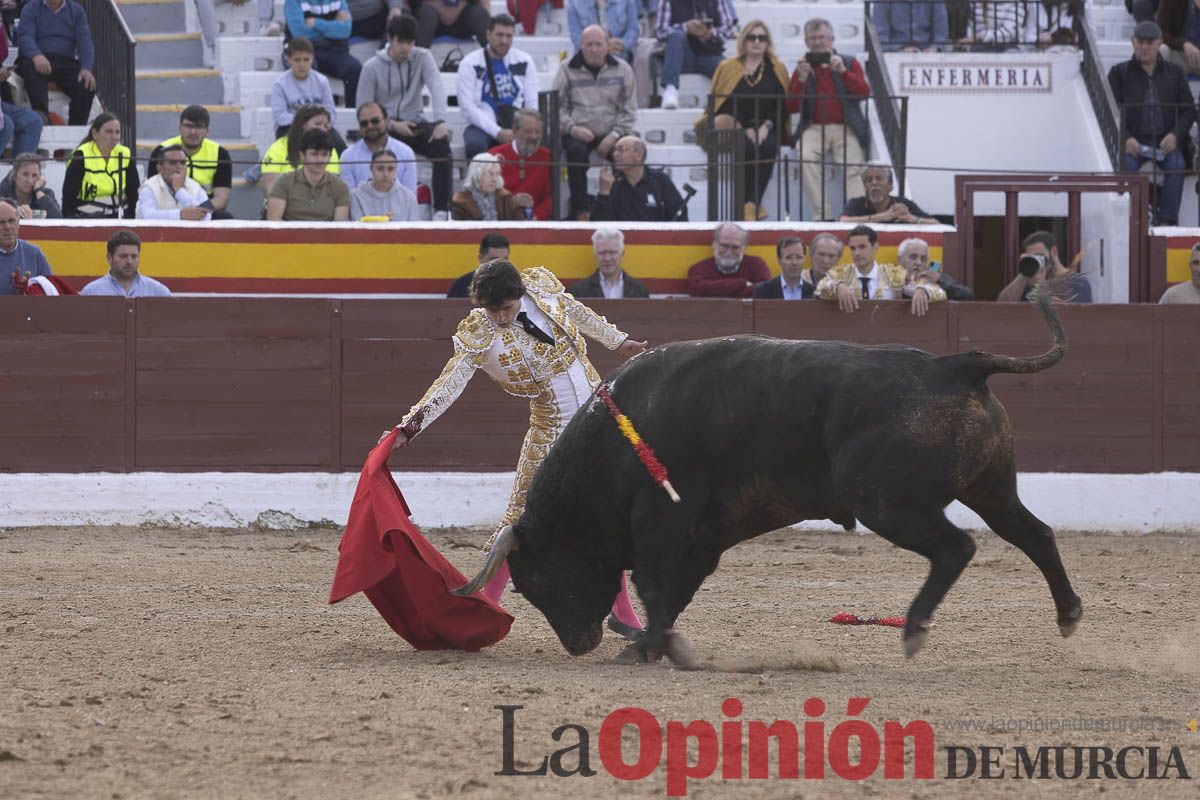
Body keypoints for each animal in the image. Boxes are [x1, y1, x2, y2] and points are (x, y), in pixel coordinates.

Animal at [453, 291, 1084, 666]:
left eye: (537, 580)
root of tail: (956, 365)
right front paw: (658, 646)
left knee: (957, 547)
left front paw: (652, 647)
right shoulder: (702, 536)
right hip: (990, 489)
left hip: (887, 503)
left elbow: (655, 584)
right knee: (1034, 534)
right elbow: (675, 590)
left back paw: (913, 630)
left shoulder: (663, 521)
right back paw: (1069, 615)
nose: (577, 644)